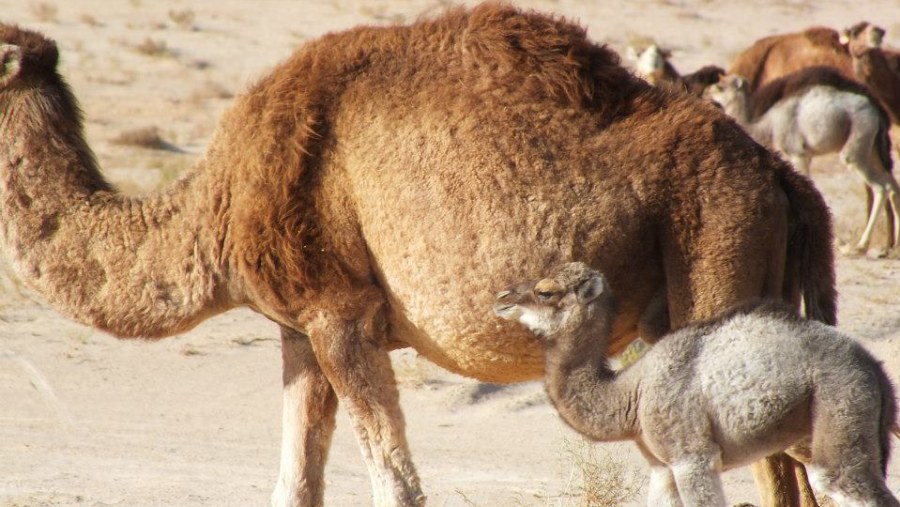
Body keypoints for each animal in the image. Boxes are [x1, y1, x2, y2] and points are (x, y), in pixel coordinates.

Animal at [492, 264, 900, 507]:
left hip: (842, 408)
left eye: (546, 291)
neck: (631, 393)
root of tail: (875, 370)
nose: (502, 298)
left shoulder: (692, 456)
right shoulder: (662, 467)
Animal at [708, 67, 896, 256]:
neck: (769, 126)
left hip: (859, 138)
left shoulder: (799, 155)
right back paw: (891, 247)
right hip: (873, 149)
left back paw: (861, 245)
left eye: (720, 87)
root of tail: (876, 111)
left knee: (879, 186)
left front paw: (839, 243)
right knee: (891, 183)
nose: (707, 93)